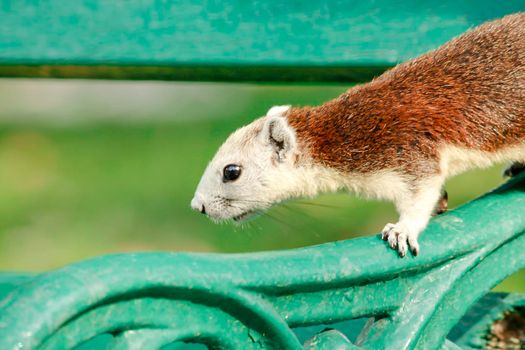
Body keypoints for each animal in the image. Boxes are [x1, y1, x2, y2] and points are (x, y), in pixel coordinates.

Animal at [190, 13, 520, 258]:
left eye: (231, 172)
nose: (198, 206)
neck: (339, 135)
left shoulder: (409, 151)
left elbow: (419, 196)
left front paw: (403, 230)